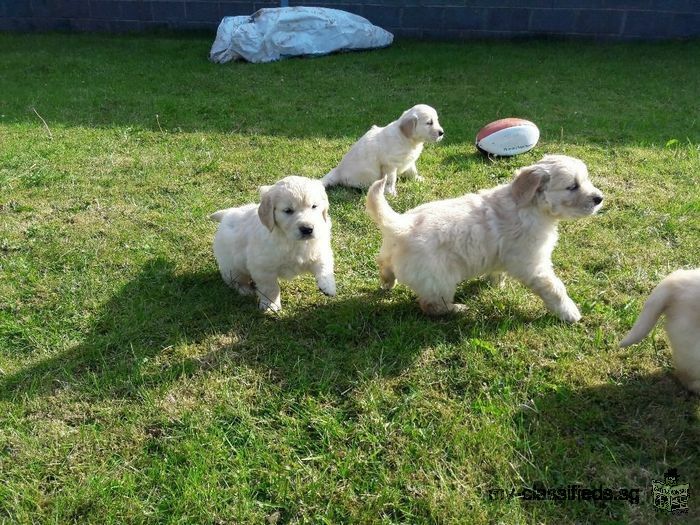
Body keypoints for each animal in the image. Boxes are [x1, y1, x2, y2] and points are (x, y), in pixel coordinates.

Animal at [211, 176, 336, 312]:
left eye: (314, 206)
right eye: (288, 211)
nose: (307, 229)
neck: (292, 241)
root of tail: (227, 215)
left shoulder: (320, 249)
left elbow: (324, 266)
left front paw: (328, 286)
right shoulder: (263, 267)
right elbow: (270, 288)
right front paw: (271, 305)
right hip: (232, 267)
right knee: (234, 280)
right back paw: (245, 290)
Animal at [366, 154, 600, 322]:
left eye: (586, 180)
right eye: (573, 186)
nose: (600, 198)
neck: (531, 205)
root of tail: (400, 225)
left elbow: (497, 271)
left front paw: (497, 284)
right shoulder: (532, 263)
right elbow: (555, 288)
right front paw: (570, 312)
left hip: (391, 255)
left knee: (384, 266)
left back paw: (388, 283)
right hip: (440, 279)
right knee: (431, 305)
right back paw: (458, 309)